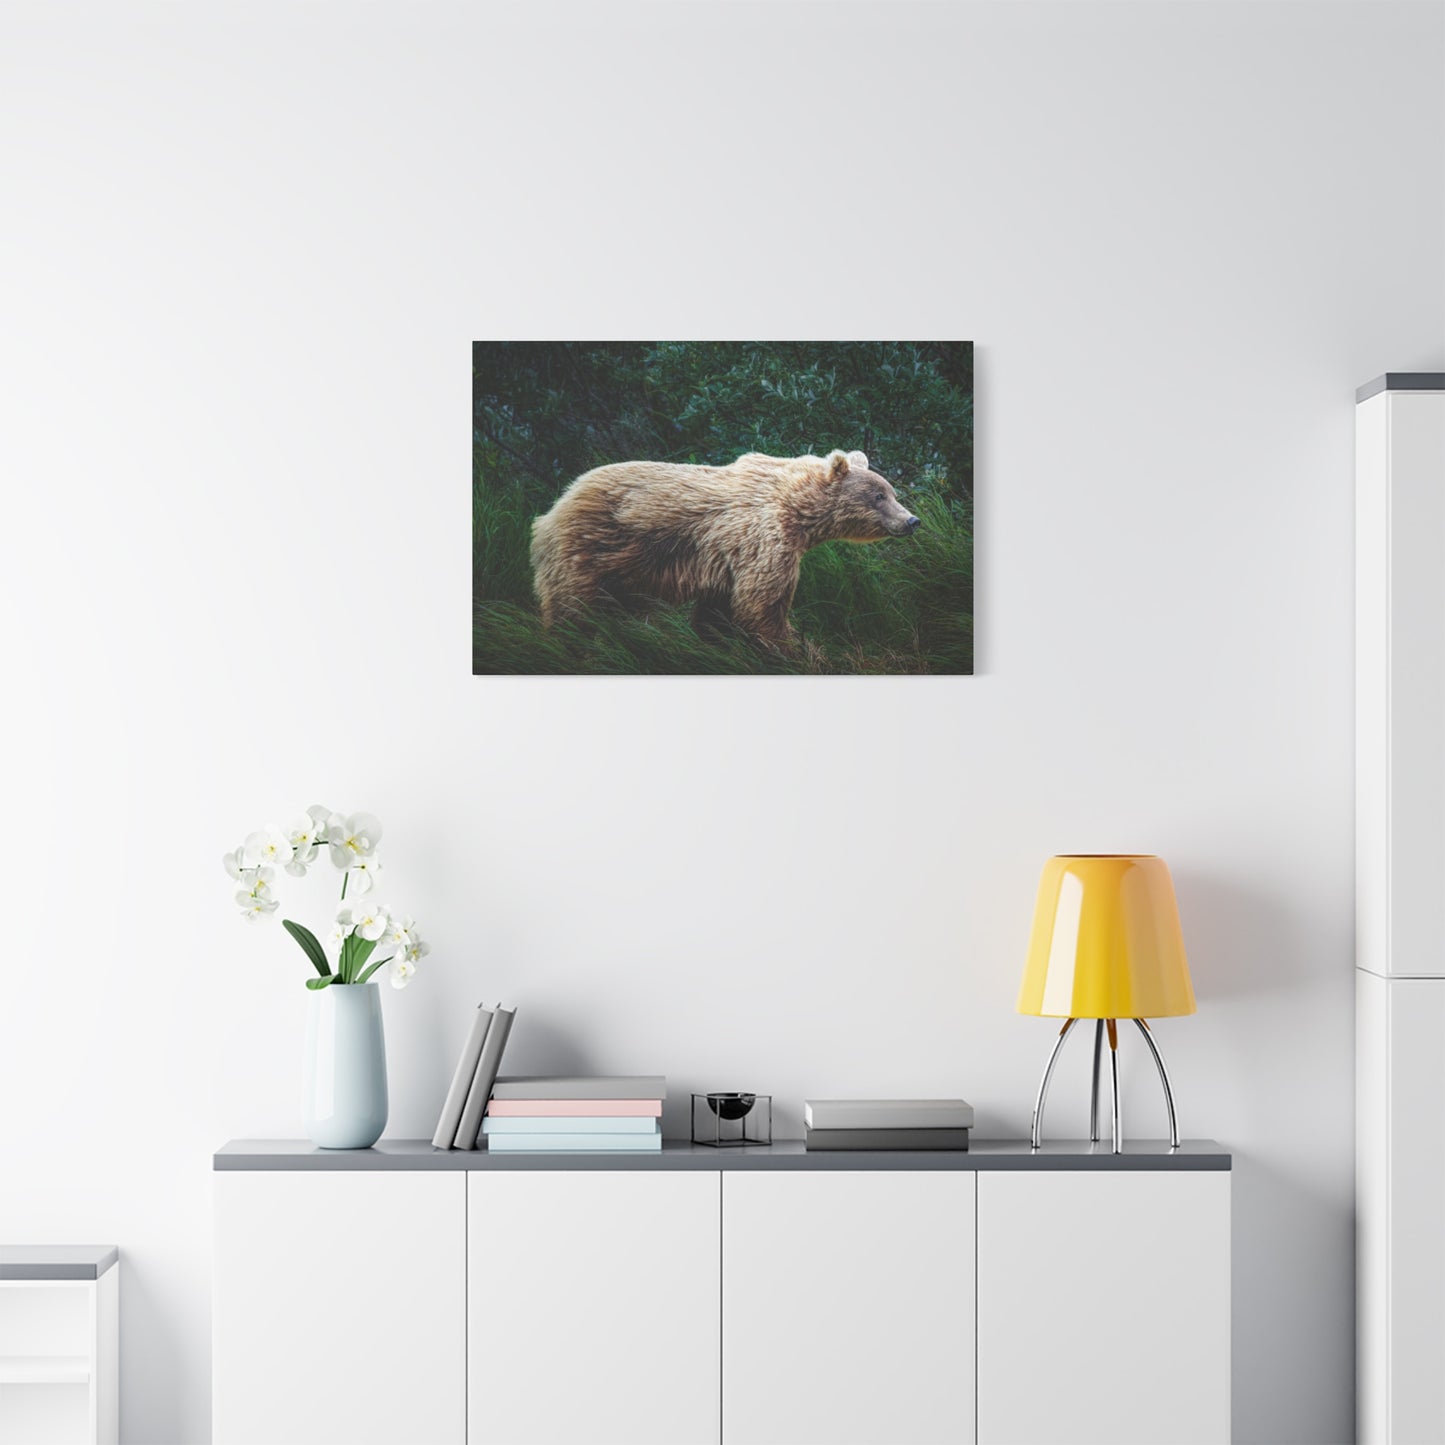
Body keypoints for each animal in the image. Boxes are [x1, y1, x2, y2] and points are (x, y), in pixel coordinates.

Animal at [530, 449, 920, 647]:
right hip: (590, 549)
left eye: (891, 491)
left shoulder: (724, 562)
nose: (911, 520)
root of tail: (554, 507)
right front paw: (793, 646)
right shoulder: (764, 539)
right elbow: (763, 605)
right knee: (572, 608)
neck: (799, 513)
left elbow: (719, 611)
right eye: (878, 495)